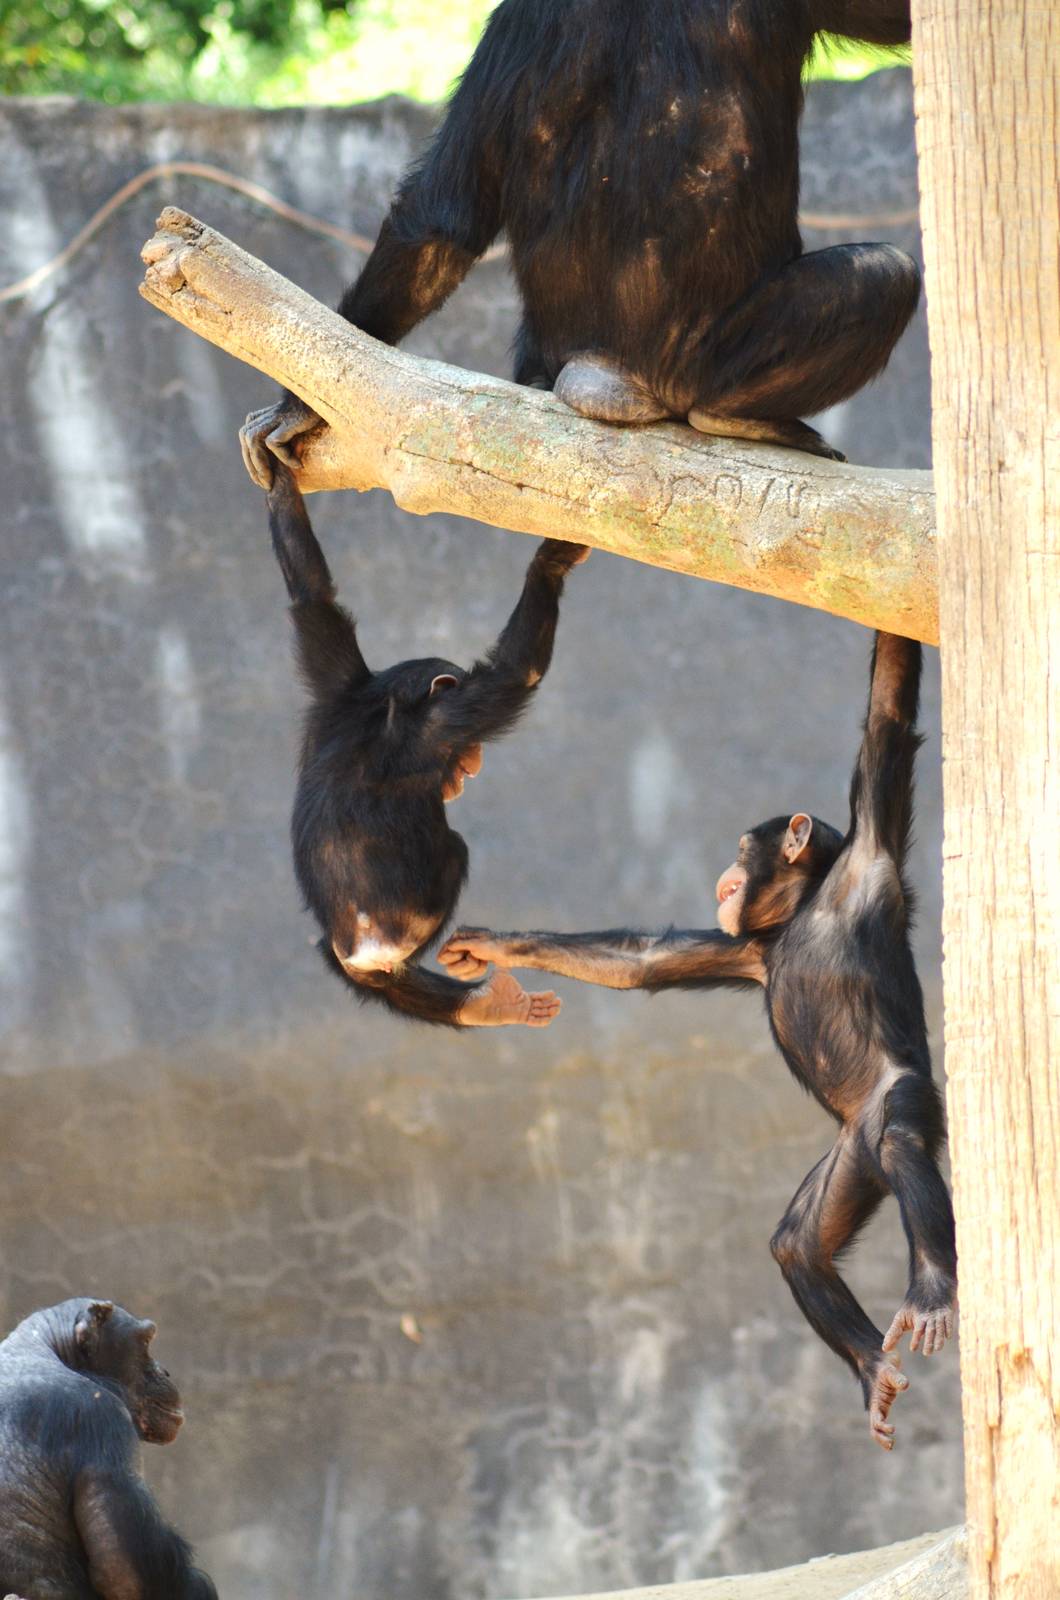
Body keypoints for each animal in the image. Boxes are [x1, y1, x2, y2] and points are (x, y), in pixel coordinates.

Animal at [240, 0, 919, 487]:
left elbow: (443, 216)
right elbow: (443, 214)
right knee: (886, 273)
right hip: (694, 366)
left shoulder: (515, 20)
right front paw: (297, 407)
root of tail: (611, 376)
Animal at [264, 462, 587, 1026]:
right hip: (405, 931)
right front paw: (552, 559)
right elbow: (515, 671)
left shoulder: (338, 681)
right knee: (455, 849)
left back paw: (484, 1005)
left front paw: (279, 473)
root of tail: (358, 952)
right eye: (465, 749)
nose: (475, 763)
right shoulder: (447, 721)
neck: (389, 701)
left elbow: (312, 595)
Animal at [440, 633, 957, 1446]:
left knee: (906, 1146)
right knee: (797, 1243)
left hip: (899, 1099)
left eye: (744, 846)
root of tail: (866, 1129)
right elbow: (644, 960)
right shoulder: (747, 949)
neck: (805, 909)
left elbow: (888, 716)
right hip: (851, 1154)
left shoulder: (870, 856)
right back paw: (872, 1368)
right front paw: (488, 945)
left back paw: (932, 1289)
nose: (724, 867)